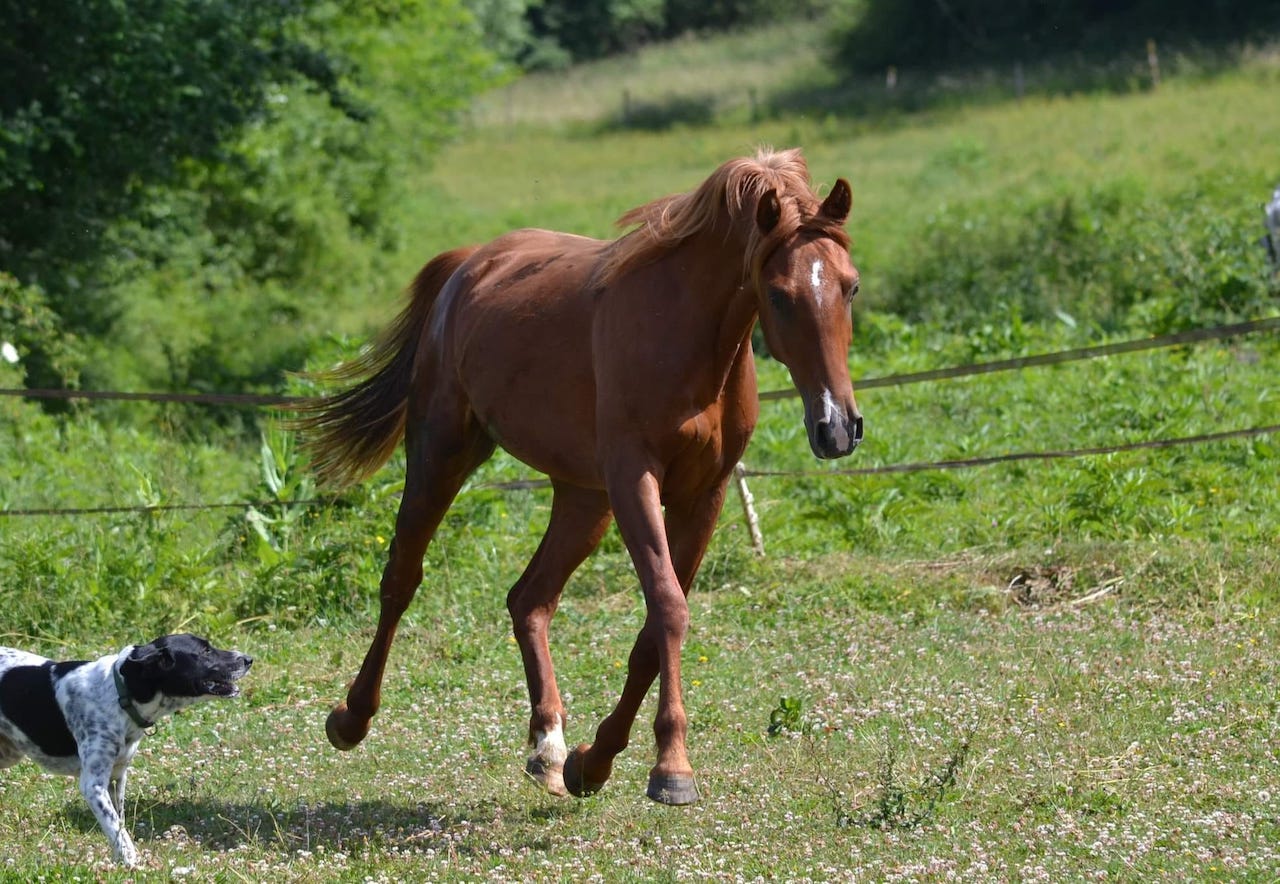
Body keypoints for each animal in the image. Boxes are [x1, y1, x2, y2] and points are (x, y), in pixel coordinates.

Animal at [0, 631, 252, 869]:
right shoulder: (93, 786)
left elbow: (119, 825)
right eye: (205, 651)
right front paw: (132, 863)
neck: (120, 694)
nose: (249, 659)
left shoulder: (117, 777)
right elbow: (115, 828)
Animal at [294, 148, 865, 803]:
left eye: (850, 286)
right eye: (778, 294)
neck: (685, 334)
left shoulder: (704, 494)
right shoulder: (634, 479)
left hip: (582, 499)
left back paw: (548, 746)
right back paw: (352, 717)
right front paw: (671, 767)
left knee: (529, 599)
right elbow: (668, 607)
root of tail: (470, 264)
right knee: (401, 578)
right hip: (443, 455)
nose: (836, 428)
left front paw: (595, 761)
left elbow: (652, 632)